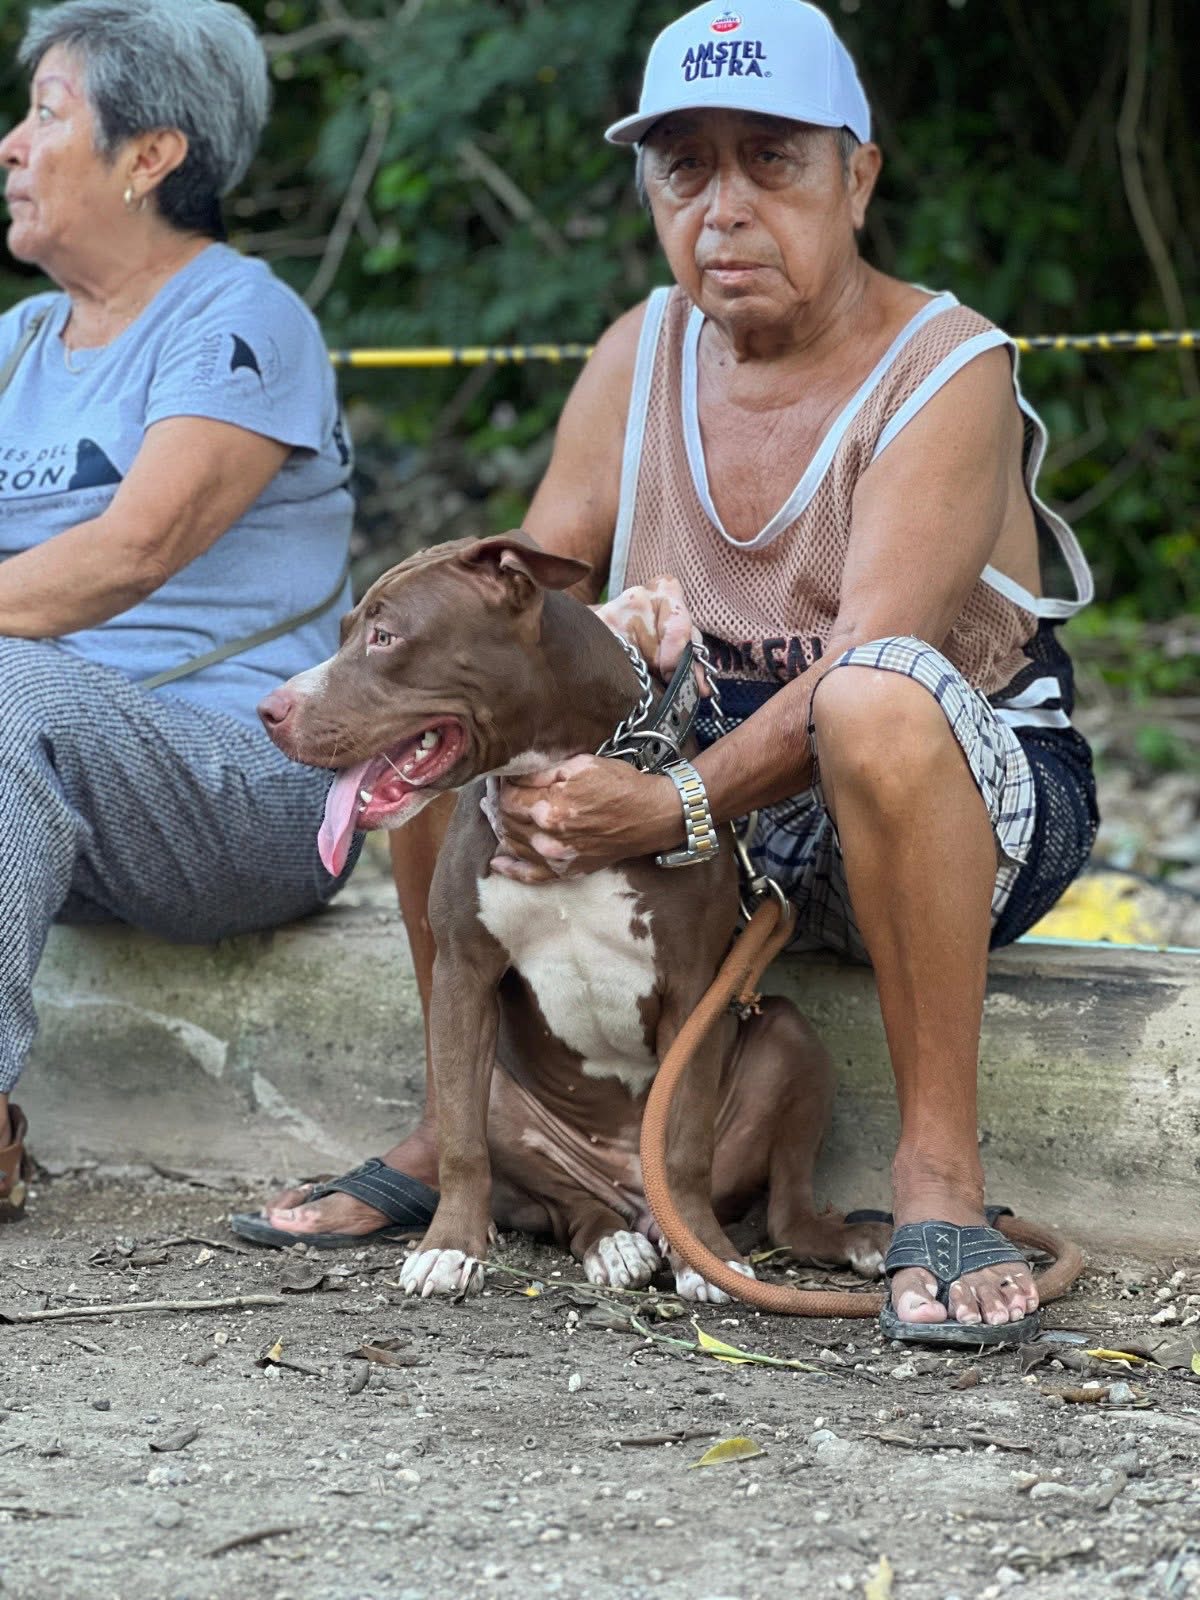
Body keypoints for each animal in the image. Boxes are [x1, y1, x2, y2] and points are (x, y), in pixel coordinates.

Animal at [258, 533, 887, 1300]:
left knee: (780, 1207)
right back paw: (612, 1245)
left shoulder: (693, 988)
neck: (555, 764)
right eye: (347, 631)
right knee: (567, 1205)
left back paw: (827, 1241)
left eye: (386, 637)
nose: (269, 709)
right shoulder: (463, 975)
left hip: (790, 1040)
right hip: (506, 1095)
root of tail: (631, 1194)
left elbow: (684, 1146)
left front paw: (705, 1256)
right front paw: (448, 1247)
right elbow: (463, 1143)